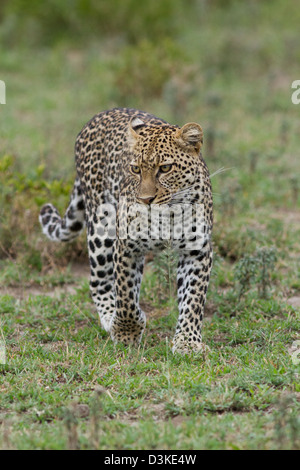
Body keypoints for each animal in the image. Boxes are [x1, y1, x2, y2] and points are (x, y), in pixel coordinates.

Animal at [39, 108, 213, 354]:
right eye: (135, 169)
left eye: (165, 168)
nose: (146, 199)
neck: (168, 215)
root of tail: (101, 114)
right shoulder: (127, 246)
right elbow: (126, 295)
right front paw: (126, 332)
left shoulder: (197, 250)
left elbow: (193, 299)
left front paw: (187, 342)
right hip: (101, 227)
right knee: (98, 280)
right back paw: (109, 318)